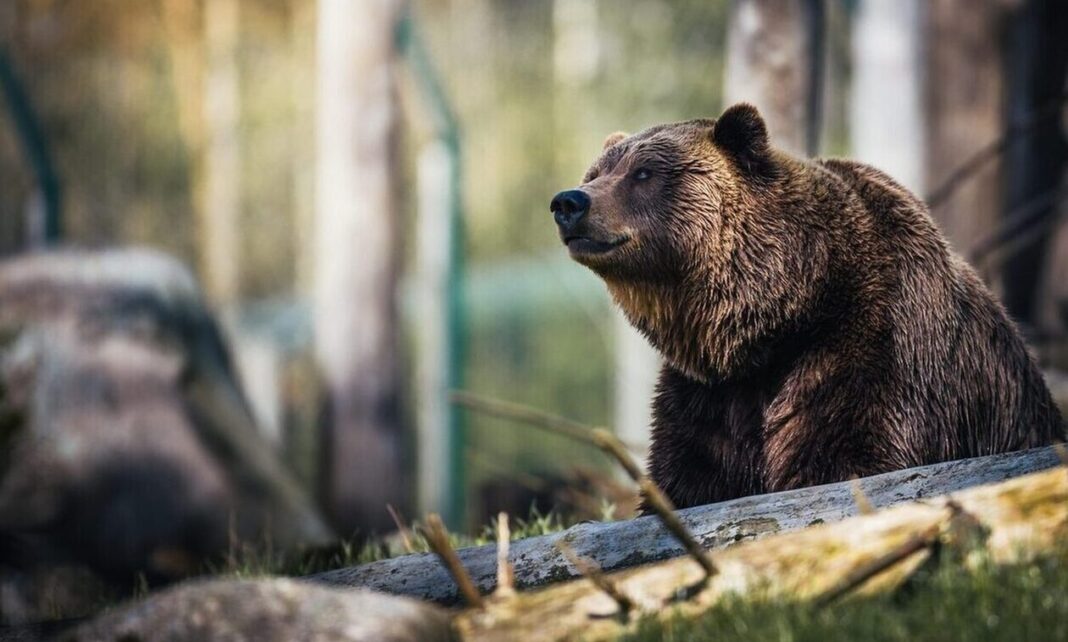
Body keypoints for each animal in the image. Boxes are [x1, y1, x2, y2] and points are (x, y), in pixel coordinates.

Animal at [555, 102, 1063, 508]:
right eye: (596, 173)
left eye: (644, 173)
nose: (569, 202)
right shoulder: (709, 395)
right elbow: (688, 477)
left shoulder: (871, 348)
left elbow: (848, 456)